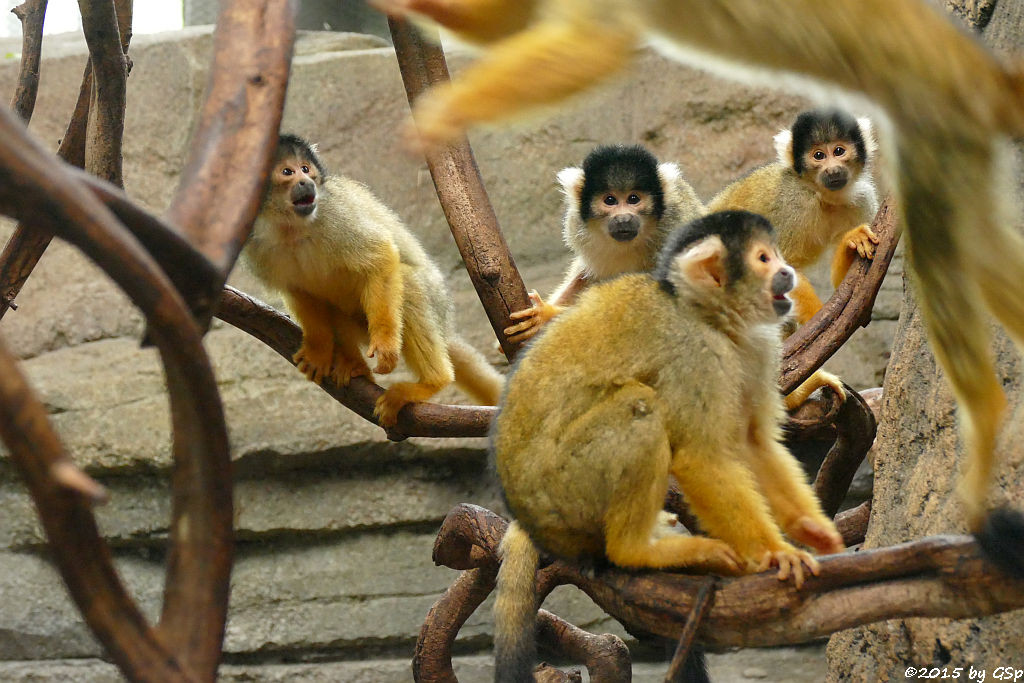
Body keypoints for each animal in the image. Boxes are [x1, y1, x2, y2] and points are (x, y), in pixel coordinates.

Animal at [245, 135, 505, 428]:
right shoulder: (255, 245)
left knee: (408, 283)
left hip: (434, 300)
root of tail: (445, 326)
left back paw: (432, 381)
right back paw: (354, 366)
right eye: (288, 172)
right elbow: (300, 293)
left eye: (305, 169)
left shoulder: (335, 216)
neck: (292, 229)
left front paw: (385, 345)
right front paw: (319, 350)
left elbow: (381, 256)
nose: (306, 182)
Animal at [491, 210, 843, 679]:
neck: (710, 318)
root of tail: (527, 516)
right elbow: (700, 458)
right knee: (640, 407)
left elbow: (753, 441)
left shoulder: (755, 346)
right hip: (560, 488)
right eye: (764, 259)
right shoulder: (696, 353)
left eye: (776, 255)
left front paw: (815, 531)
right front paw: (775, 555)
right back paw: (638, 549)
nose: (787, 272)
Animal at [712, 110, 880, 411]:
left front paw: (853, 243)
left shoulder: (862, 199)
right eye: (818, 156)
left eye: (839, 151)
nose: (832, 170)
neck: (821, 195)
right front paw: (821, 321)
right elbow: (780, 270)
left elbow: (854, 287)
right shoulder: (792, 203)